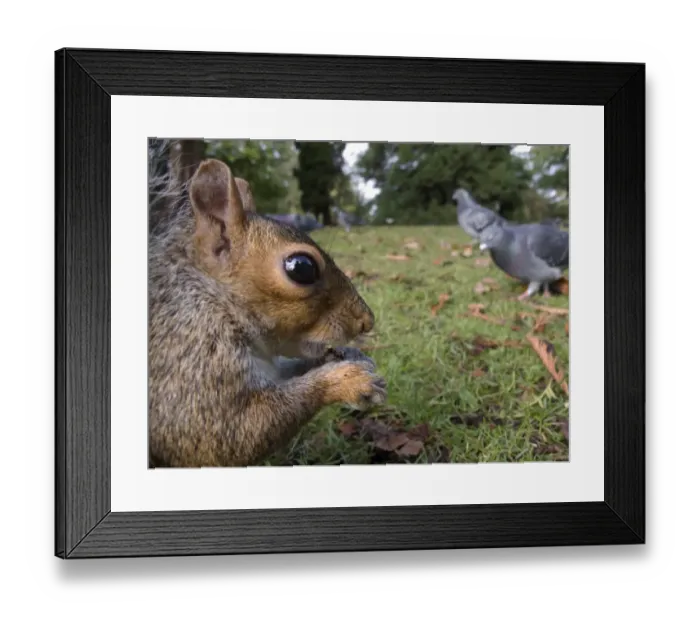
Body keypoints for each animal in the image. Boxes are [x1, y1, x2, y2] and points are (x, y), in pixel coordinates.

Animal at [148, 158, 387, 468]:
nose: (366, 321)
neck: (214, 298)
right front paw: (348, 381)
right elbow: (226, 434)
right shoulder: (189, 359)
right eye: (302, 267)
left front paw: (346, 356)